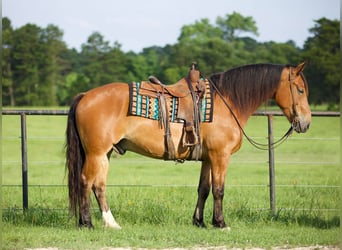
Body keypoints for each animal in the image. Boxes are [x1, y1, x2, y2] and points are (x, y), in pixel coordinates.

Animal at [65, 62, 312, 229]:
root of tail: (85, 95)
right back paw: (87, 223)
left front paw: (199, 221)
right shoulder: (221, 156)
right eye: (300, 90)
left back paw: (110, 223)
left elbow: (204, 189)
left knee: (99, 186)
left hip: (104, 154)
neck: (227, 102)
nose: (306, 123)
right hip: (96, 153)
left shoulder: (208, 158)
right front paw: (220, 223)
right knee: (85, 182)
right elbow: (219, 190)